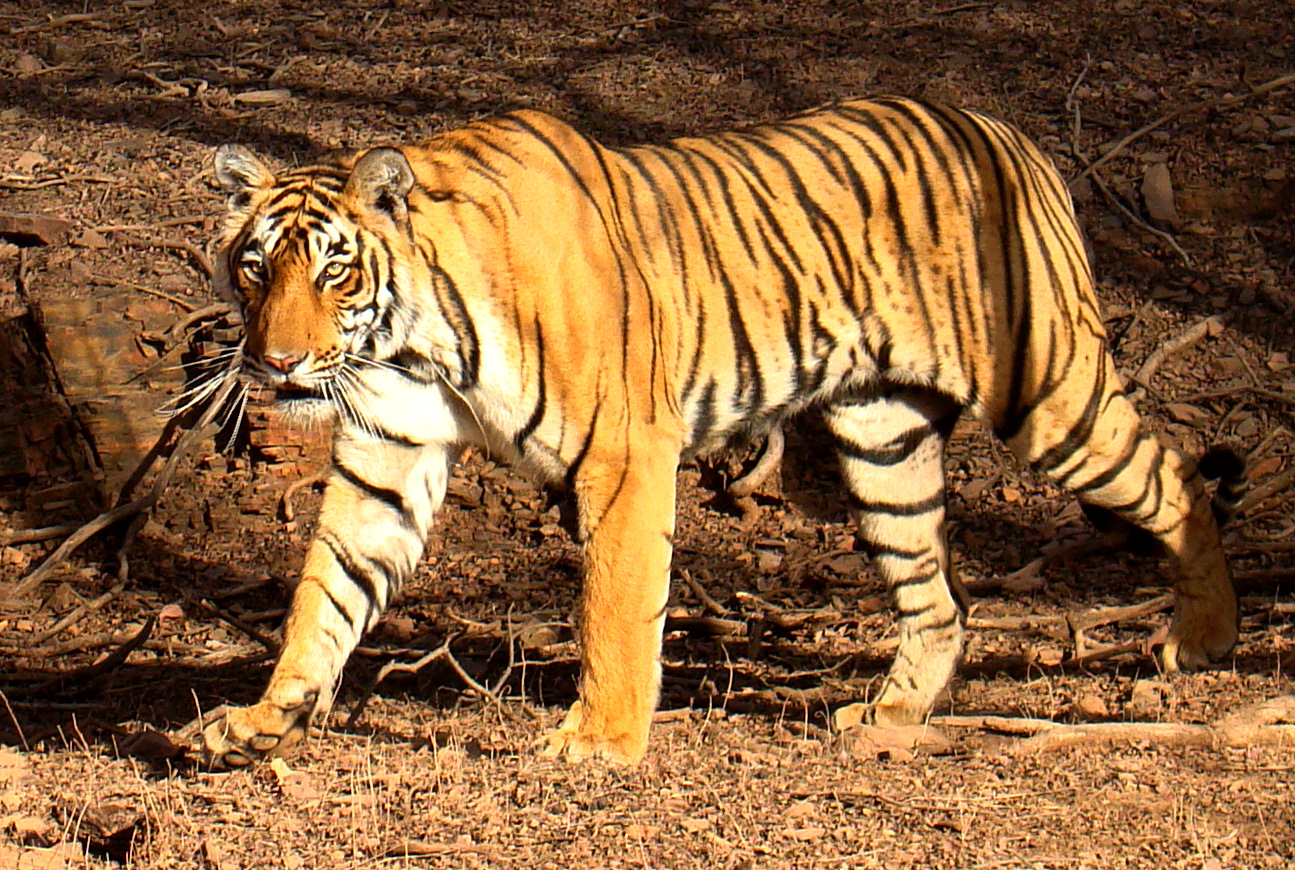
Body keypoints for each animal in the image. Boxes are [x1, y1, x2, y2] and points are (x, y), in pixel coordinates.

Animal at [198, 96, 1243, 768]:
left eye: (333, 271)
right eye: (256, 266)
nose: (277, 364)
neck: (412, 341)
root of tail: (1009, 134)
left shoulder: (623, 453)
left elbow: (615, 605)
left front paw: (600, 743)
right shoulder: (389, 453)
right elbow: (325, 594)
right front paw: (263, 719)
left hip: (1047, 391)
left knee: (1175, 482)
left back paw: (1205, 640)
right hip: (883, 441)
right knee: (938, 601)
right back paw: (890, 714)